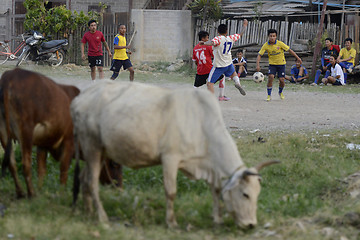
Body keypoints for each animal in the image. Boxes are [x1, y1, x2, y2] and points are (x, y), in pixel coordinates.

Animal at [0, 67, 80, 197]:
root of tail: (10, 76)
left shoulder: (42, 146)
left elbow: (41, 170)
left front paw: (41, 189)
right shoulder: (69, 141)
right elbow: (64, 170)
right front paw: (61, 193)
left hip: (4, 132)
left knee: (12, 163)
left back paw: (21, 192)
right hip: (26, 130)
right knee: (26, 163)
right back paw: (31, 193)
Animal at [71, 81, 278, 229]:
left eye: (257, 194)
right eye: (245, 194)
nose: (251, 225)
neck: (202, 124)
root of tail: (80, 98)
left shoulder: (211, 168)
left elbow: (216, 191)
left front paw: (217, 220)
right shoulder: (170, 159)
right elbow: (171, 192)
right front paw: (171, 222)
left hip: (99, 151)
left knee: (84, 178)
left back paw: (87, 211)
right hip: (92, 147)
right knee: (92, 182)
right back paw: (102, 217)